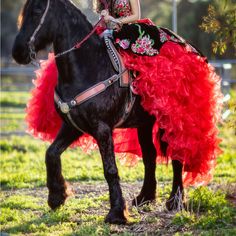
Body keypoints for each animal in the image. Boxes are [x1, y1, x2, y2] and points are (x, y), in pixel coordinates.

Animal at [12, 0, 183, 225]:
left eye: (38, 10)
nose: (18, 52)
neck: (89, 66)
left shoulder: (102, 128)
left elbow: (110, 170)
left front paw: (116, 213)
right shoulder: (73, 125)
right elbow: (51, 154)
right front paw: (57, 197)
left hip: (169, 121)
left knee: (177, 155)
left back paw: (176, 201)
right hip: (144, 124)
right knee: (150, 155)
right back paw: (144, 198)